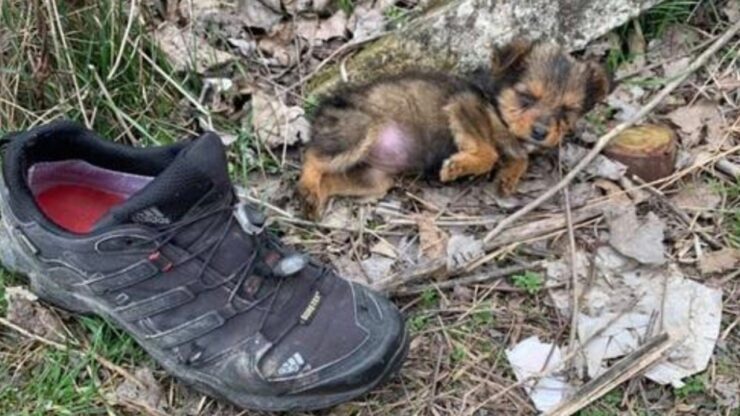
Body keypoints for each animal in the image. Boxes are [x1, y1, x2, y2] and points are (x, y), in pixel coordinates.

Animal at [298, 39, 608, 219]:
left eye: (566, 111)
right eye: (526, 97)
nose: (541, 133)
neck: (497, 102)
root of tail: (323, 108)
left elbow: (519, 156)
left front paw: (508, 178)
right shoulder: (465, 107)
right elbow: (489, 152)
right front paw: (459, 166)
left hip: (373, 179)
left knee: (331, 178)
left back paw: (315, 198)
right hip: (357, 131)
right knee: (312, 156)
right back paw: (308, 186)